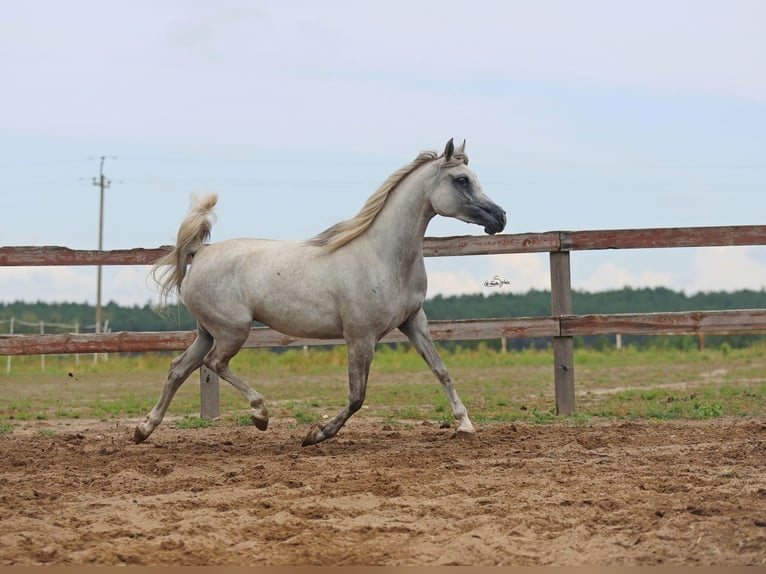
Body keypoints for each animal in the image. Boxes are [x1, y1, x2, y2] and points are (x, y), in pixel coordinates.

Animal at [135, 140, 508, 446]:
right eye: (461, 180)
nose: (500, 217)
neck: (381, 256)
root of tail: (199, 252)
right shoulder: (360, 336)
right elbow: (357, 395)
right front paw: (315, 434)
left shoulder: (414, 322)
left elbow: (440, 369)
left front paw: (465, 424)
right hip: (232, 331)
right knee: (214, 364)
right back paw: (260, 415)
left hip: (208, 332)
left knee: (178, 369)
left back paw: (143, 429)